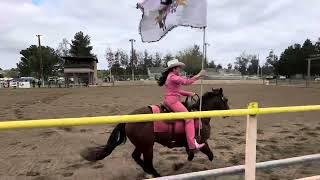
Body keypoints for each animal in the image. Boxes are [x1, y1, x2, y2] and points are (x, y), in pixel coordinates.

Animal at [81, 88, 229, 177]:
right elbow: (209, 154)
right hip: (147, 147)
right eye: (226, 100)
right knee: (147, 162)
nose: (228, 112)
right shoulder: (201, 141)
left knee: (136, 157)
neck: (200, 116)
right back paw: (156, 174)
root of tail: (128, 119)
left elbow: (192, 155)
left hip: (141, 145)